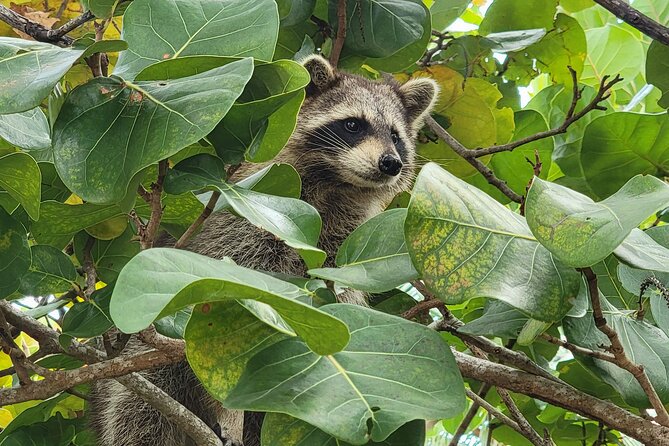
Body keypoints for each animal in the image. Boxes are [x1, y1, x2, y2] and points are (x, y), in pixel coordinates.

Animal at [91, 55, 438, 446]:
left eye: (395, 135)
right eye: (353, 125)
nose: (391, 163)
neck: (335, 184)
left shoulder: (341, 242)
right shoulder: (250, 220)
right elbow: (221, 336)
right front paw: (229, 412)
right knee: (139, 411)